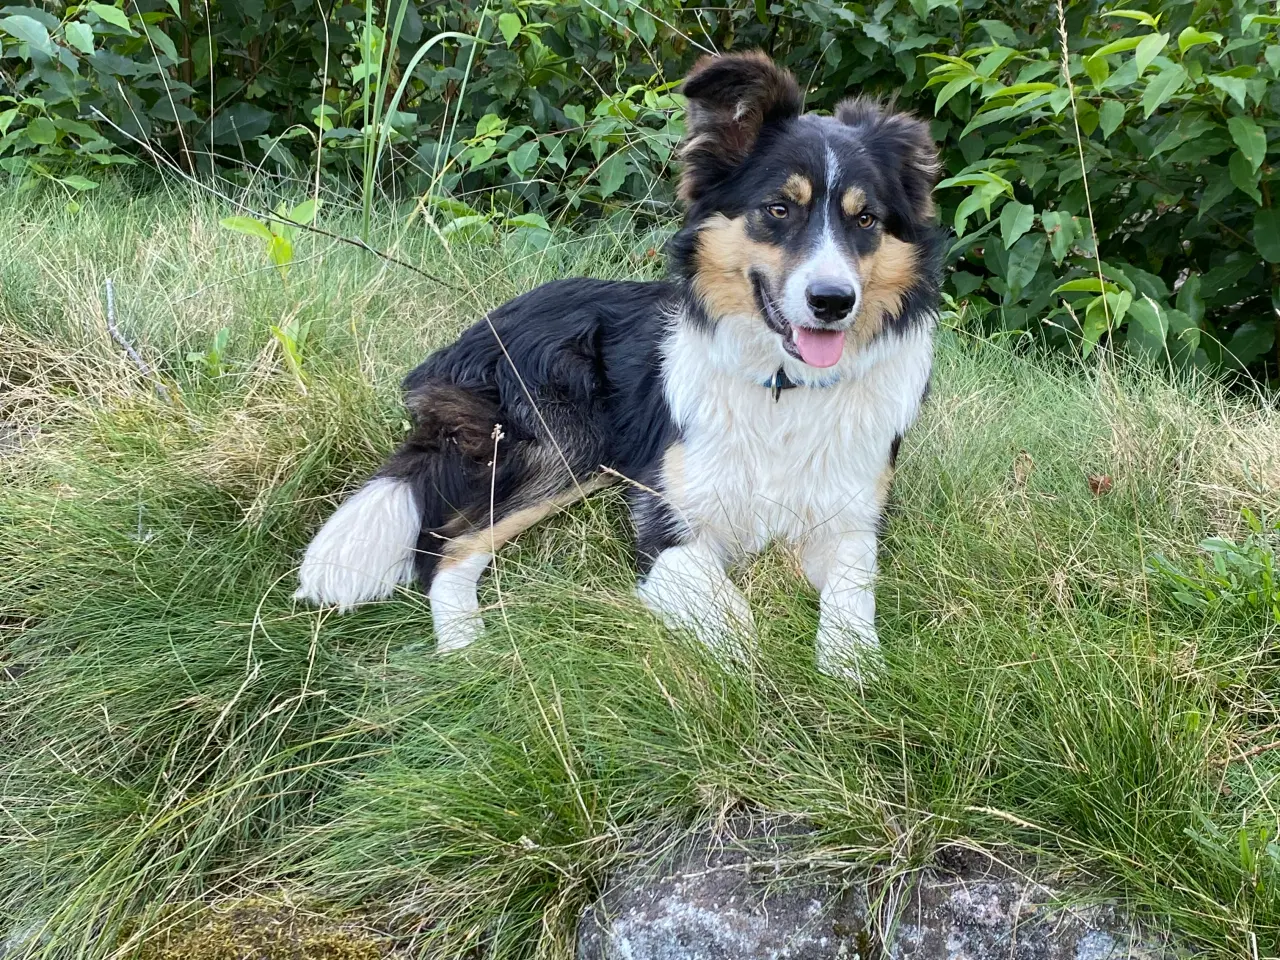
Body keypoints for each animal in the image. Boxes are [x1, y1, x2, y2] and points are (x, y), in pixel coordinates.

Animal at [294, 52, 947, 680]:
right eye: (779, 208)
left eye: (866, 220)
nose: (833, 301)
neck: (782, 390)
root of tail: (475, 332)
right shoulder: (667, 524)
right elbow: (735, 620)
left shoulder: (853, 520)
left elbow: (852, 599)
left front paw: (851, 672)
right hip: (567, 441)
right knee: (446, 551)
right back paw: (467, 650)